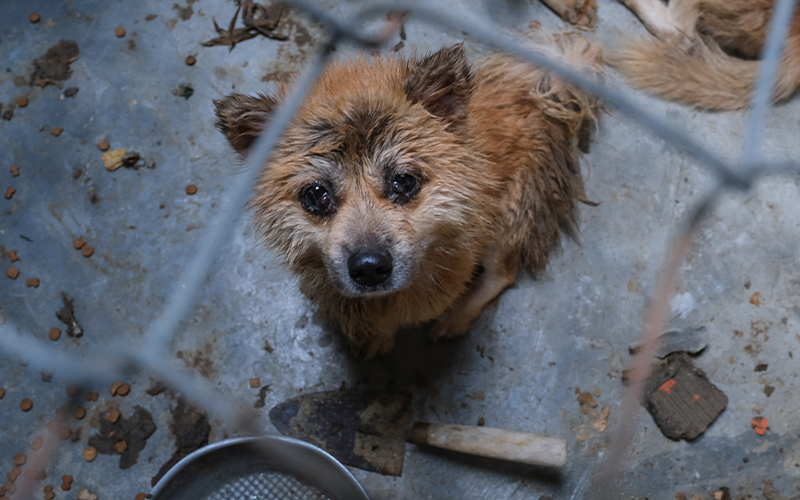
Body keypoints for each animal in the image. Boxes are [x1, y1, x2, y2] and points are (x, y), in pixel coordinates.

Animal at [212, 31, 600, 358]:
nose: (370, 269)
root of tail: (534, 97)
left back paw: (458, 317)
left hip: (507, 220)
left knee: (502, 272)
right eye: (316, 194)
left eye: (404, 181)